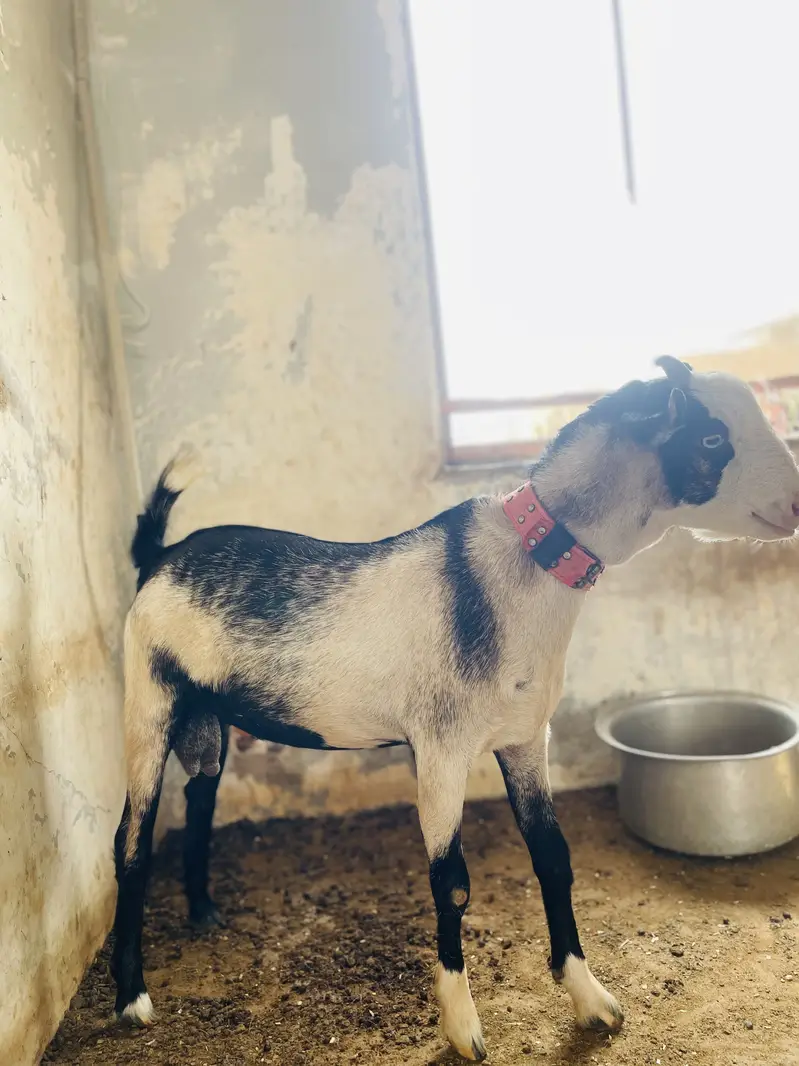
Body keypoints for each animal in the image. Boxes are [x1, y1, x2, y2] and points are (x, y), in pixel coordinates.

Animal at [110, 358, 799, 1060]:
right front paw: (463, 1026)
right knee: (131, 840)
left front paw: (591, 1000)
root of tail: (158, 558)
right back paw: (132, 998)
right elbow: (453, 882)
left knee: (198, 801)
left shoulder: (525, 738)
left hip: (207, 719)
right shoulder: (441, 749)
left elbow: (554, 858)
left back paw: (203, 914)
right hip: (149, 704)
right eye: (712, 438)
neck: (516, 571)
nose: (795, 505)